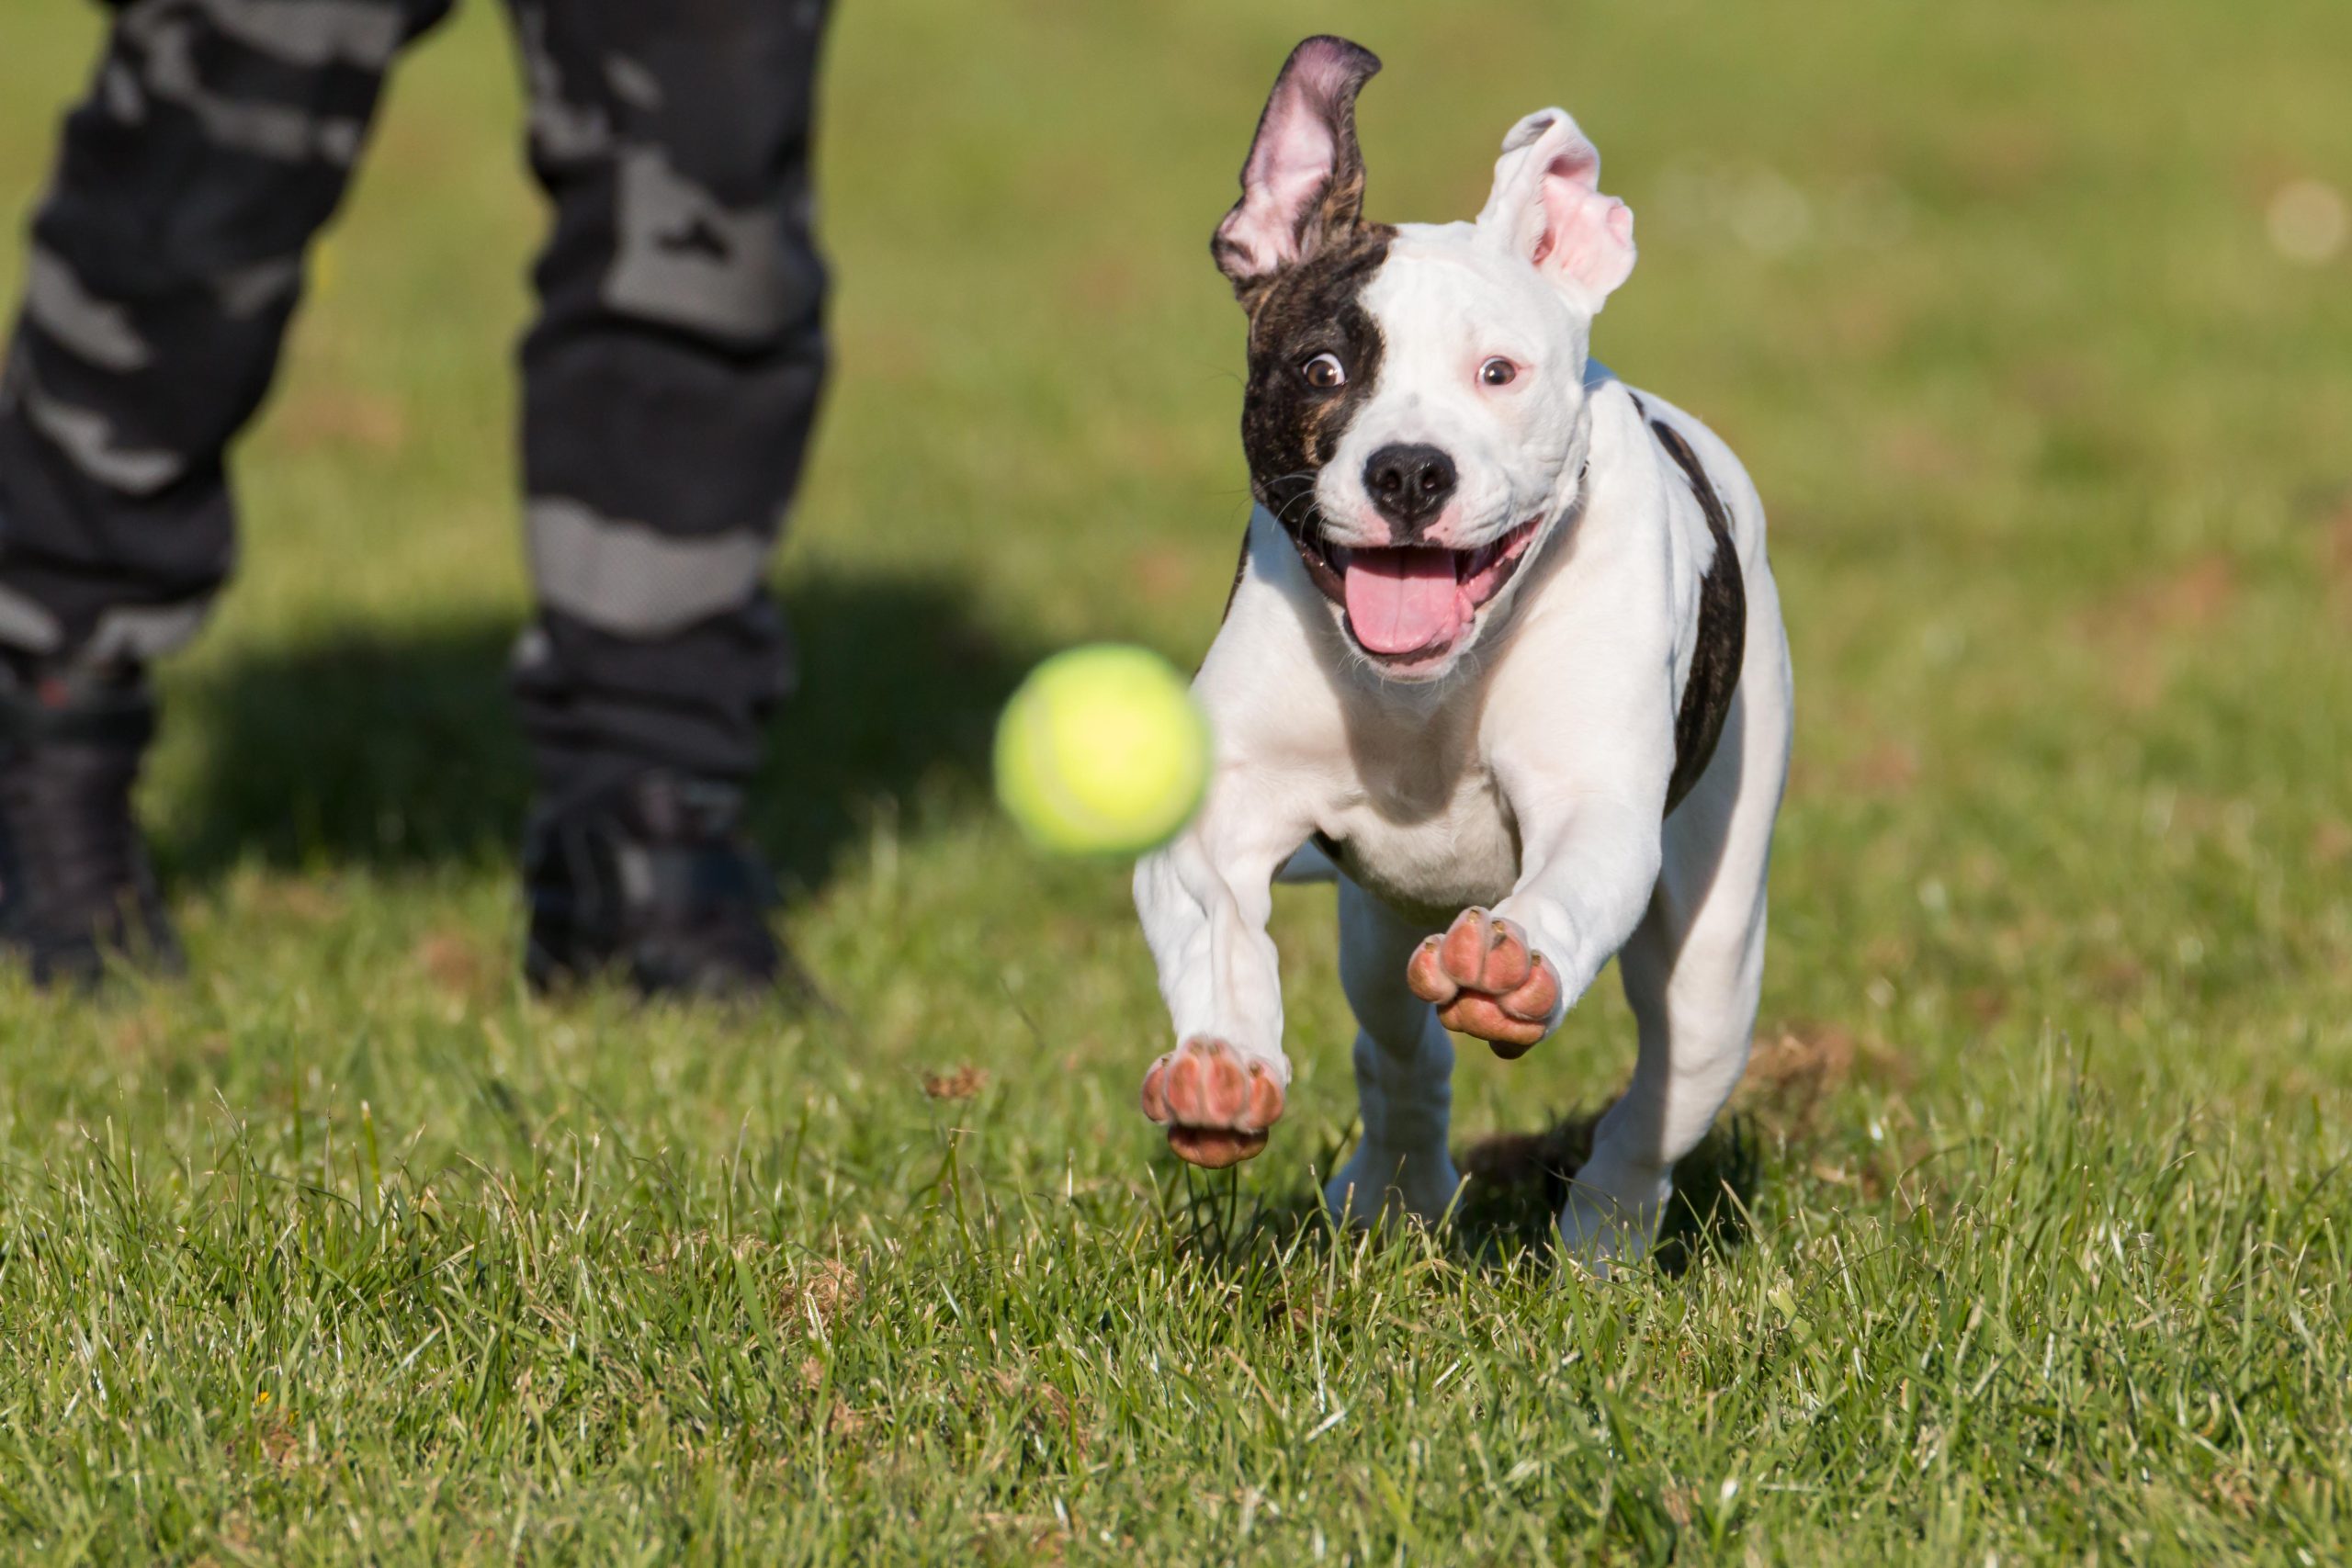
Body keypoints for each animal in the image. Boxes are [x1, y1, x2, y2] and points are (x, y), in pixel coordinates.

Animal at [1128, 36, 1787, 1269]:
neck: (1424, 694)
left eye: (1498, 373)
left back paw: (1603, 1241)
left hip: (1717, 946)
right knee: (1398, 1051)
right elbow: (1212, 916)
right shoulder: (1221, 810)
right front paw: (1221, 1064)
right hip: (1377, 929)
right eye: (1323, 370)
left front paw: (1512, 961)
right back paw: (1394, 1191)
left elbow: (1569, 878)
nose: (1408, 470)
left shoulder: (1594, 802)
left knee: (1666, 1090)